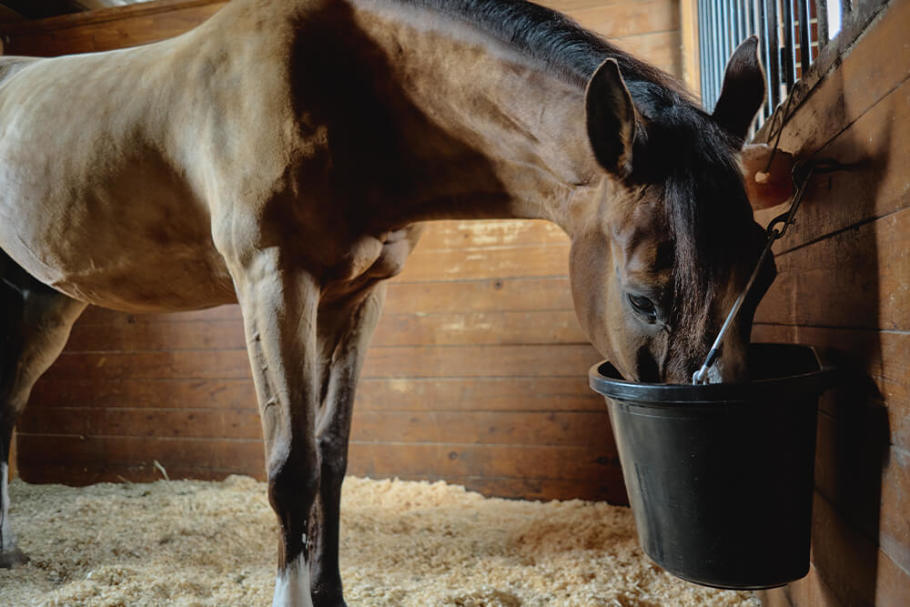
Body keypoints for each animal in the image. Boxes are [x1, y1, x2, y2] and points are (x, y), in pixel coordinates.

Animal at [0, 0, 792, 604]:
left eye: (764, 278)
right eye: (643, 299)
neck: (341, 85)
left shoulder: (355, 298)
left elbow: (332, 455)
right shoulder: (273, 281)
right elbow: (291, 468)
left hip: (43, 302)